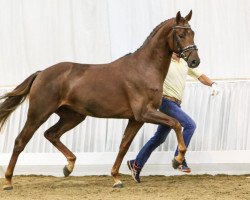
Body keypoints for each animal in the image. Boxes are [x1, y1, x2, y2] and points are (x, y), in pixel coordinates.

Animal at [0, 10, 199, 189]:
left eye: (193, 33)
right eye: (181, 34)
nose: (195, 61)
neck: (144, 69)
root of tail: (41, 73)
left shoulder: (136, 119)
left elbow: (124, 146)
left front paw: (116, 178)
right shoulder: (144, 113)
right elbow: (175, 123)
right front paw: (177, 159)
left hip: (73, 116)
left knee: (51, 134)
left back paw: (69, 166)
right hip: (38, 114)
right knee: (20, 141)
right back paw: (9, 181)